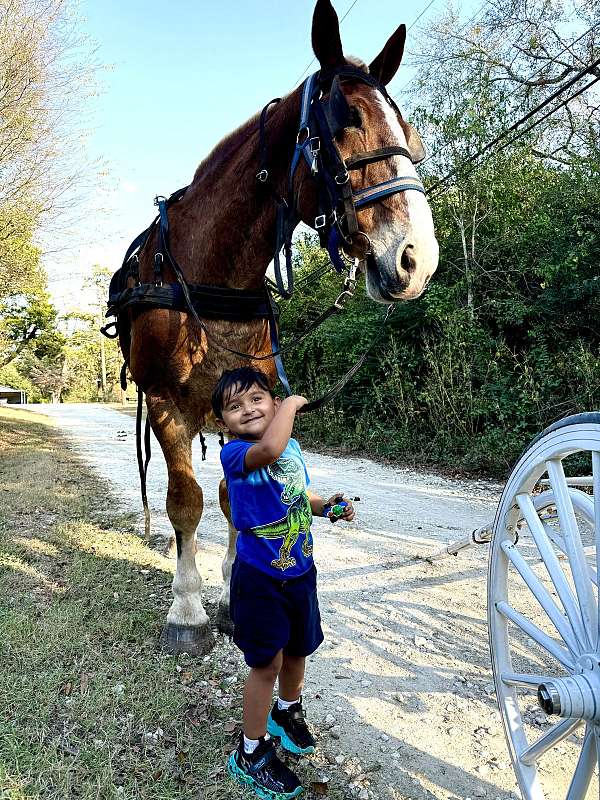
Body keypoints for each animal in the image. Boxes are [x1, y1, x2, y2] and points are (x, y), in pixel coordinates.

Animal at [120, 1, 440, 656]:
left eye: (409, 135)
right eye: (344, 122)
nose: (415, 259)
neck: (210, 272)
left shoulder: (248, 396)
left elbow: (233, 496)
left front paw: (232, 590)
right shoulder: (166, 402)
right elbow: (186, 501)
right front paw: (188, 610)